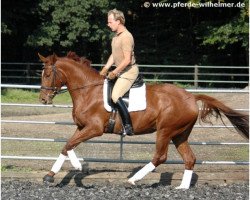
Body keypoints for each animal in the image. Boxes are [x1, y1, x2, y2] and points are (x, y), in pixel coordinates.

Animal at [38, 52, 248, 189]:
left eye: (47, 75)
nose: (43, 99)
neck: (88, 90)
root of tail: (190, 97)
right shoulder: (82, 127)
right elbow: (68, 145)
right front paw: (53, 174)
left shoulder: (94, 128)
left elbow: (70, 144)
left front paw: (75, 166)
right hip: (180, 134)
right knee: (189, 158)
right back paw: (182, 187)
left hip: (165, 130)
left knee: (160, 157)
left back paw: (133, 180)